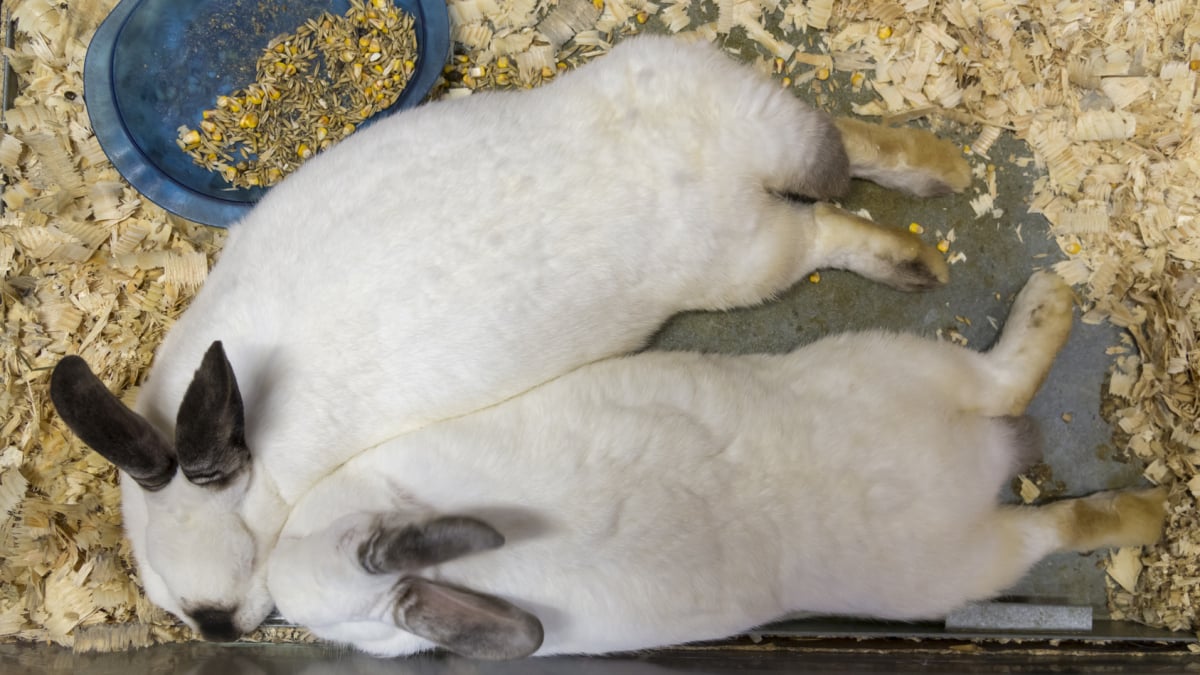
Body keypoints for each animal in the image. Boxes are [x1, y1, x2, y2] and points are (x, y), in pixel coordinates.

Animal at [51, 35, 974, 638]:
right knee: (841, 142)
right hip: (714, 92)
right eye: (175, 603)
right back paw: (940, 170)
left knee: (824, 227)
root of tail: (729, 161)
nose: (220, 633)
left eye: (228, 580)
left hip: (747, 258)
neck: (265, 462)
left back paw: (916, 262)